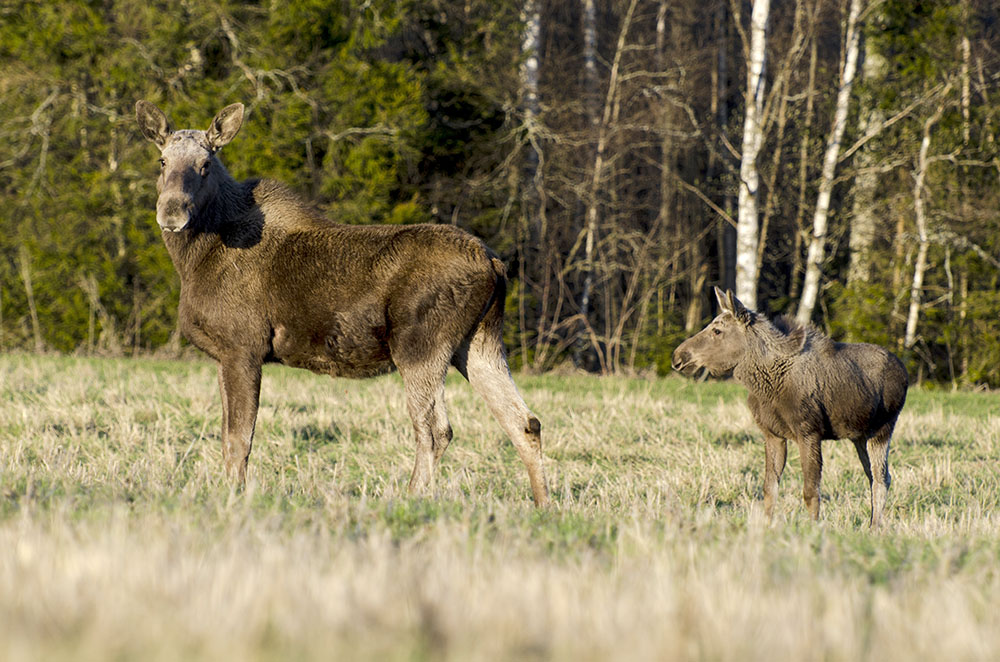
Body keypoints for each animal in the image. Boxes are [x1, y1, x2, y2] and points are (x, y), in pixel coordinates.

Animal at [133, 101, 548, 508]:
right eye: (163, 161)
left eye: (205, 164)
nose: (171, 213)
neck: (195, 259)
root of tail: (495, 265)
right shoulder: (225, 354)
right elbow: (226, 438)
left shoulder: (242, 346)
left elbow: (239, 440)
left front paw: (234, 497)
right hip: (477, 341)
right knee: (524, 421)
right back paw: (543, 505)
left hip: (420, 343)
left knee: (435, 429)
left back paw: (411, 499)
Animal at [672, 288, 908, 528]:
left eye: (717, 330)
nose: (678, 356)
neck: (766, 385)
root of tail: (904, 372)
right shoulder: (772, 434)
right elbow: (769, 488)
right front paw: (767, 525)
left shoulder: (809, 431)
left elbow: (810, 492)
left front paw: (813, 528)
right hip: (859, 436)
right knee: (875, 476)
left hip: (883, 429)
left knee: (881, 478)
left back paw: (875, 527)